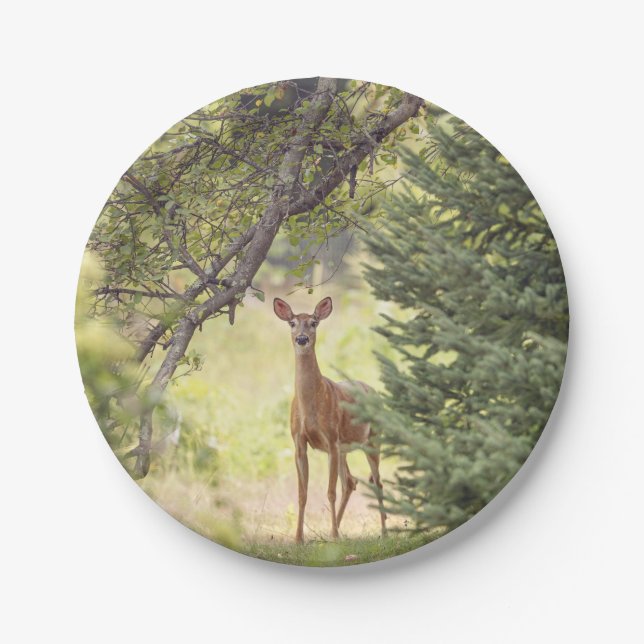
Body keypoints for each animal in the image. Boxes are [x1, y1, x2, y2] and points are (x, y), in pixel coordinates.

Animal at [273, 296, 387, 543]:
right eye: (292, 323)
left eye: (314, 322)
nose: (302, 338)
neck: (310, 405)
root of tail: (374, 391)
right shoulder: (299, 442)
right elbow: (302, 493)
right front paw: (299, 538)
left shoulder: (331, 438)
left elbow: (330, 492)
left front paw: (333, 536)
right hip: (345, 448)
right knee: (351, 481)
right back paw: (335, 530)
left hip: (372, 440)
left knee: (377, 482)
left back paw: (383, 531)